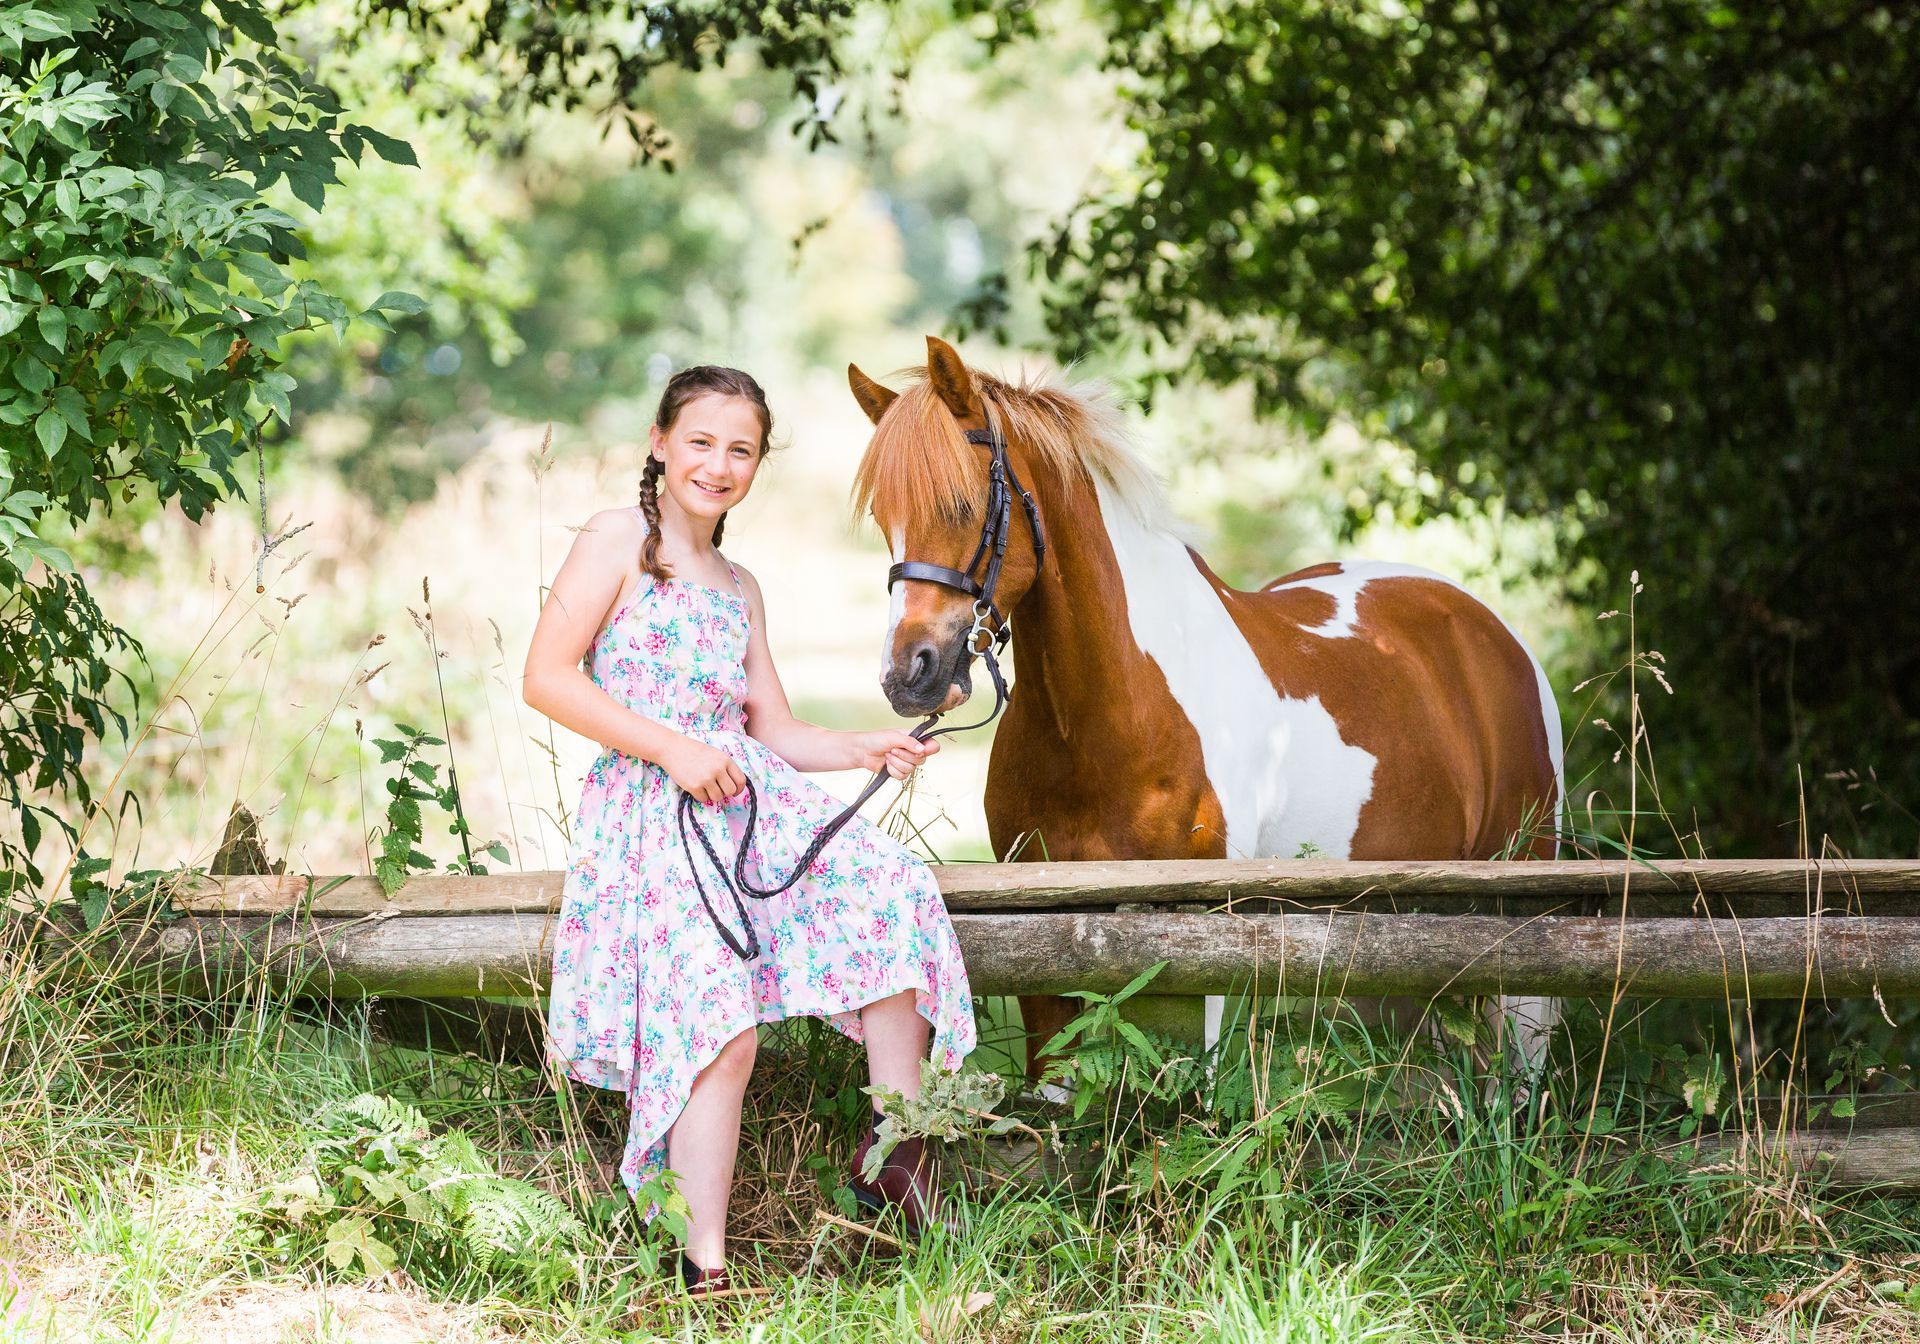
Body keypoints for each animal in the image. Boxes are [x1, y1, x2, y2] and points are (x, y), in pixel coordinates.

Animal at [848, 335, 1565, 1087]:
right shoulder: (1046, 955)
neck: (1111, 720)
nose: (907, 676)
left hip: (1519, 919)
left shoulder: (1204, 957)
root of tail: (1491, 633)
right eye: (885, 521)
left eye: (961, 504)